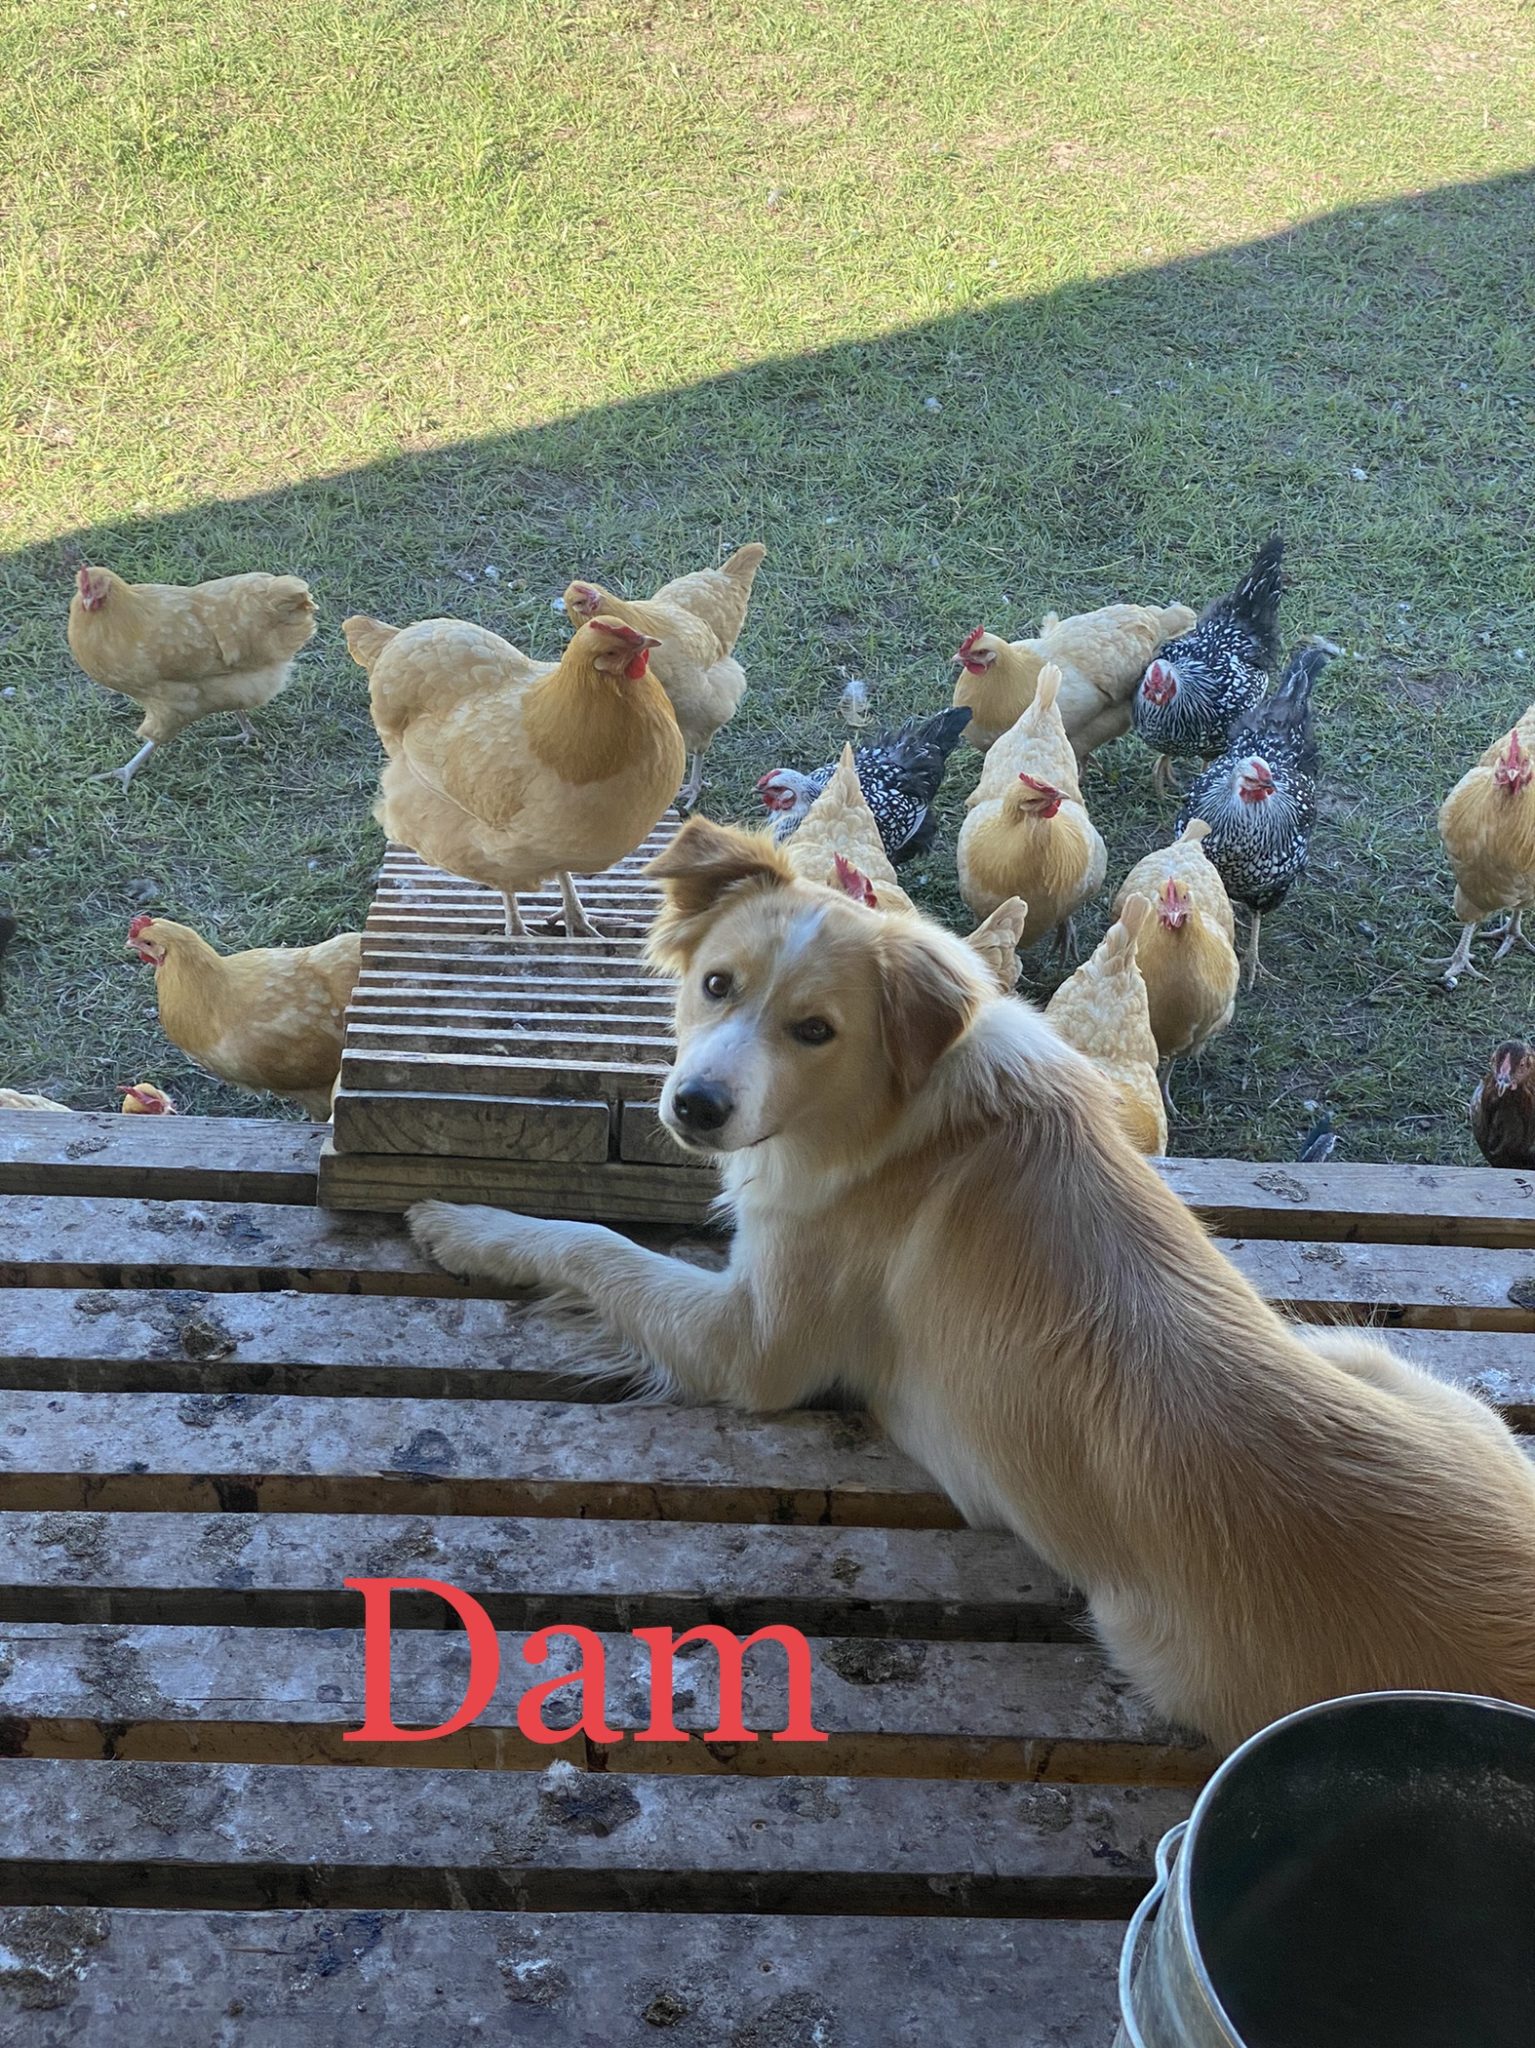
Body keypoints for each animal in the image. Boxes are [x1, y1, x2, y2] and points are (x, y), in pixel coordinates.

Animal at [411, 818, 1535, 1750]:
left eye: (814, 1029)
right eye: (717, 984)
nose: (694, 1105)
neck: (891, 1108)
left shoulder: (752, 1345)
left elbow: (591, 1242)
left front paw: (466, 1223)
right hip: (1369, 1357)